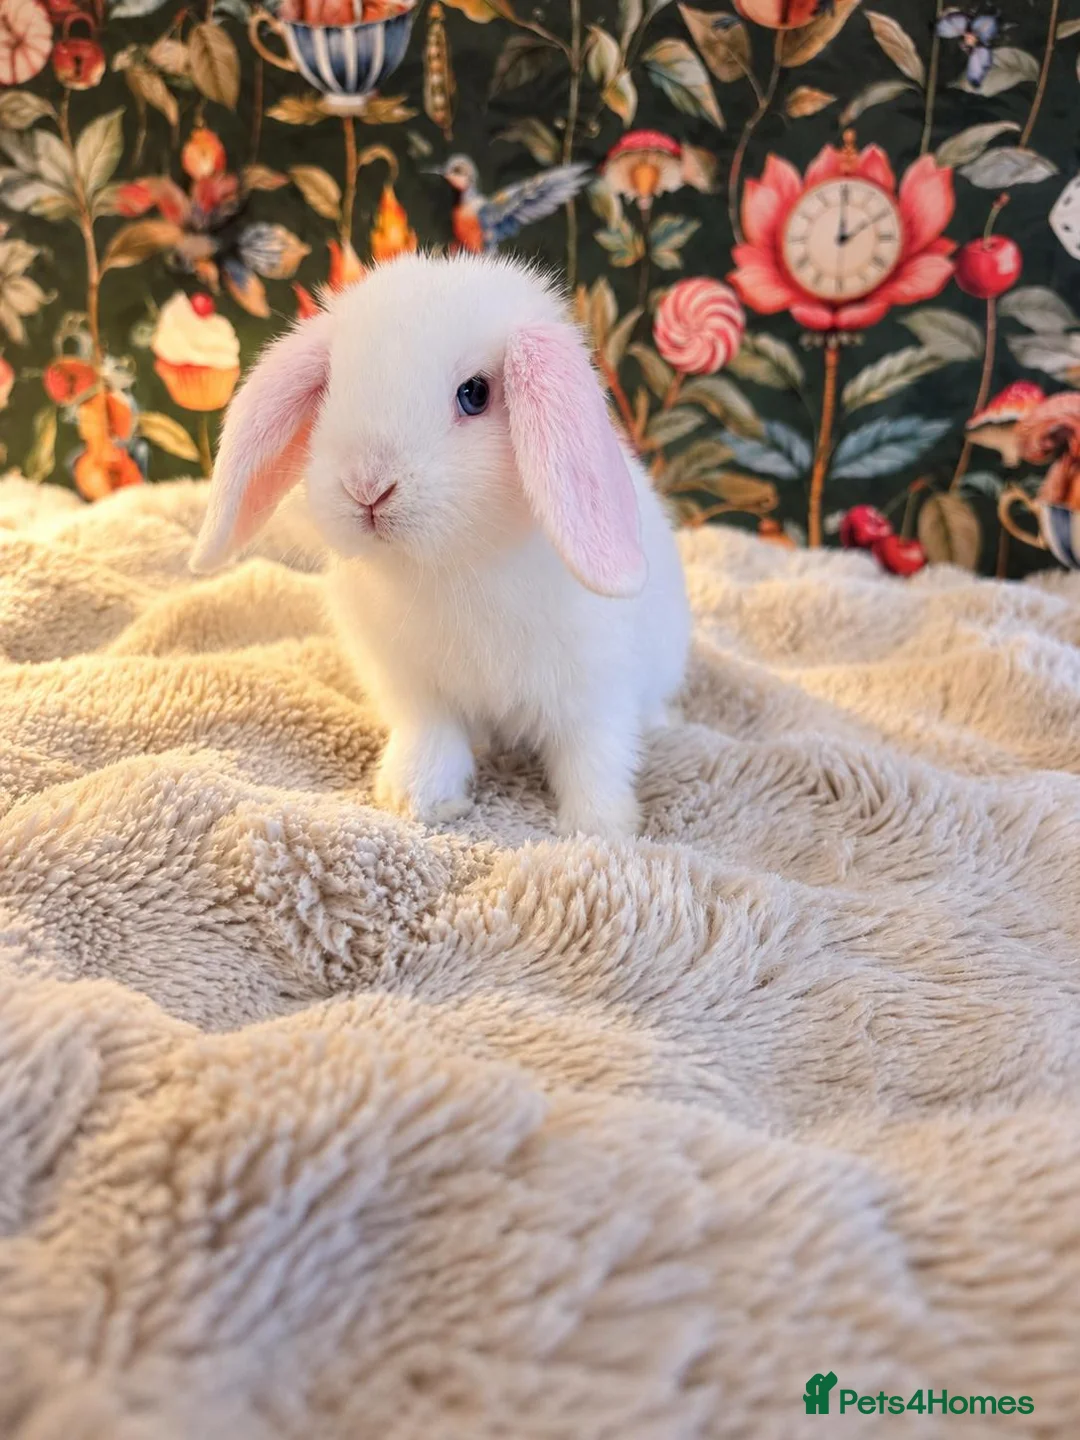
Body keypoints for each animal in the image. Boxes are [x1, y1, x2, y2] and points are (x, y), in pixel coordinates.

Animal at [190, 252, 690, 839]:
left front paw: (600, 830)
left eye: (474, 394)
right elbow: (432, 740)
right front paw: (416, 801)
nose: (368, 487)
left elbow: (595, 760)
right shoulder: (416, 691)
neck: (456, 566)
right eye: (332, 387)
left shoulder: (595, 694)